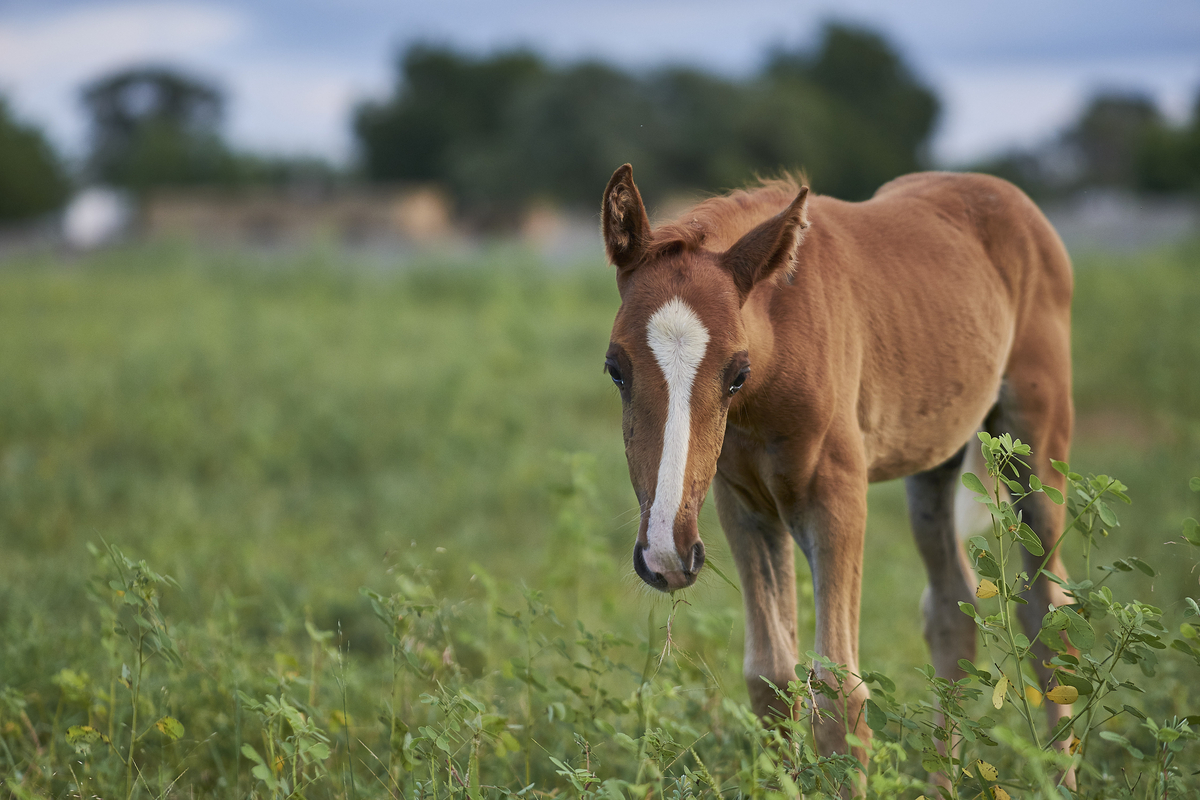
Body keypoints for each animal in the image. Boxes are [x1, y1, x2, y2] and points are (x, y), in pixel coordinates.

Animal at [599, 163, 1074, 769]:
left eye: (737, 373)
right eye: (615, 368)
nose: (665, 554)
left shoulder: (836, 499)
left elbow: (837, 688)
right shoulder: (742, 506)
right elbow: (770, 676)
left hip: (1035, 451)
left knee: (1046, 611)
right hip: (935, 466)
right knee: (952, 608)